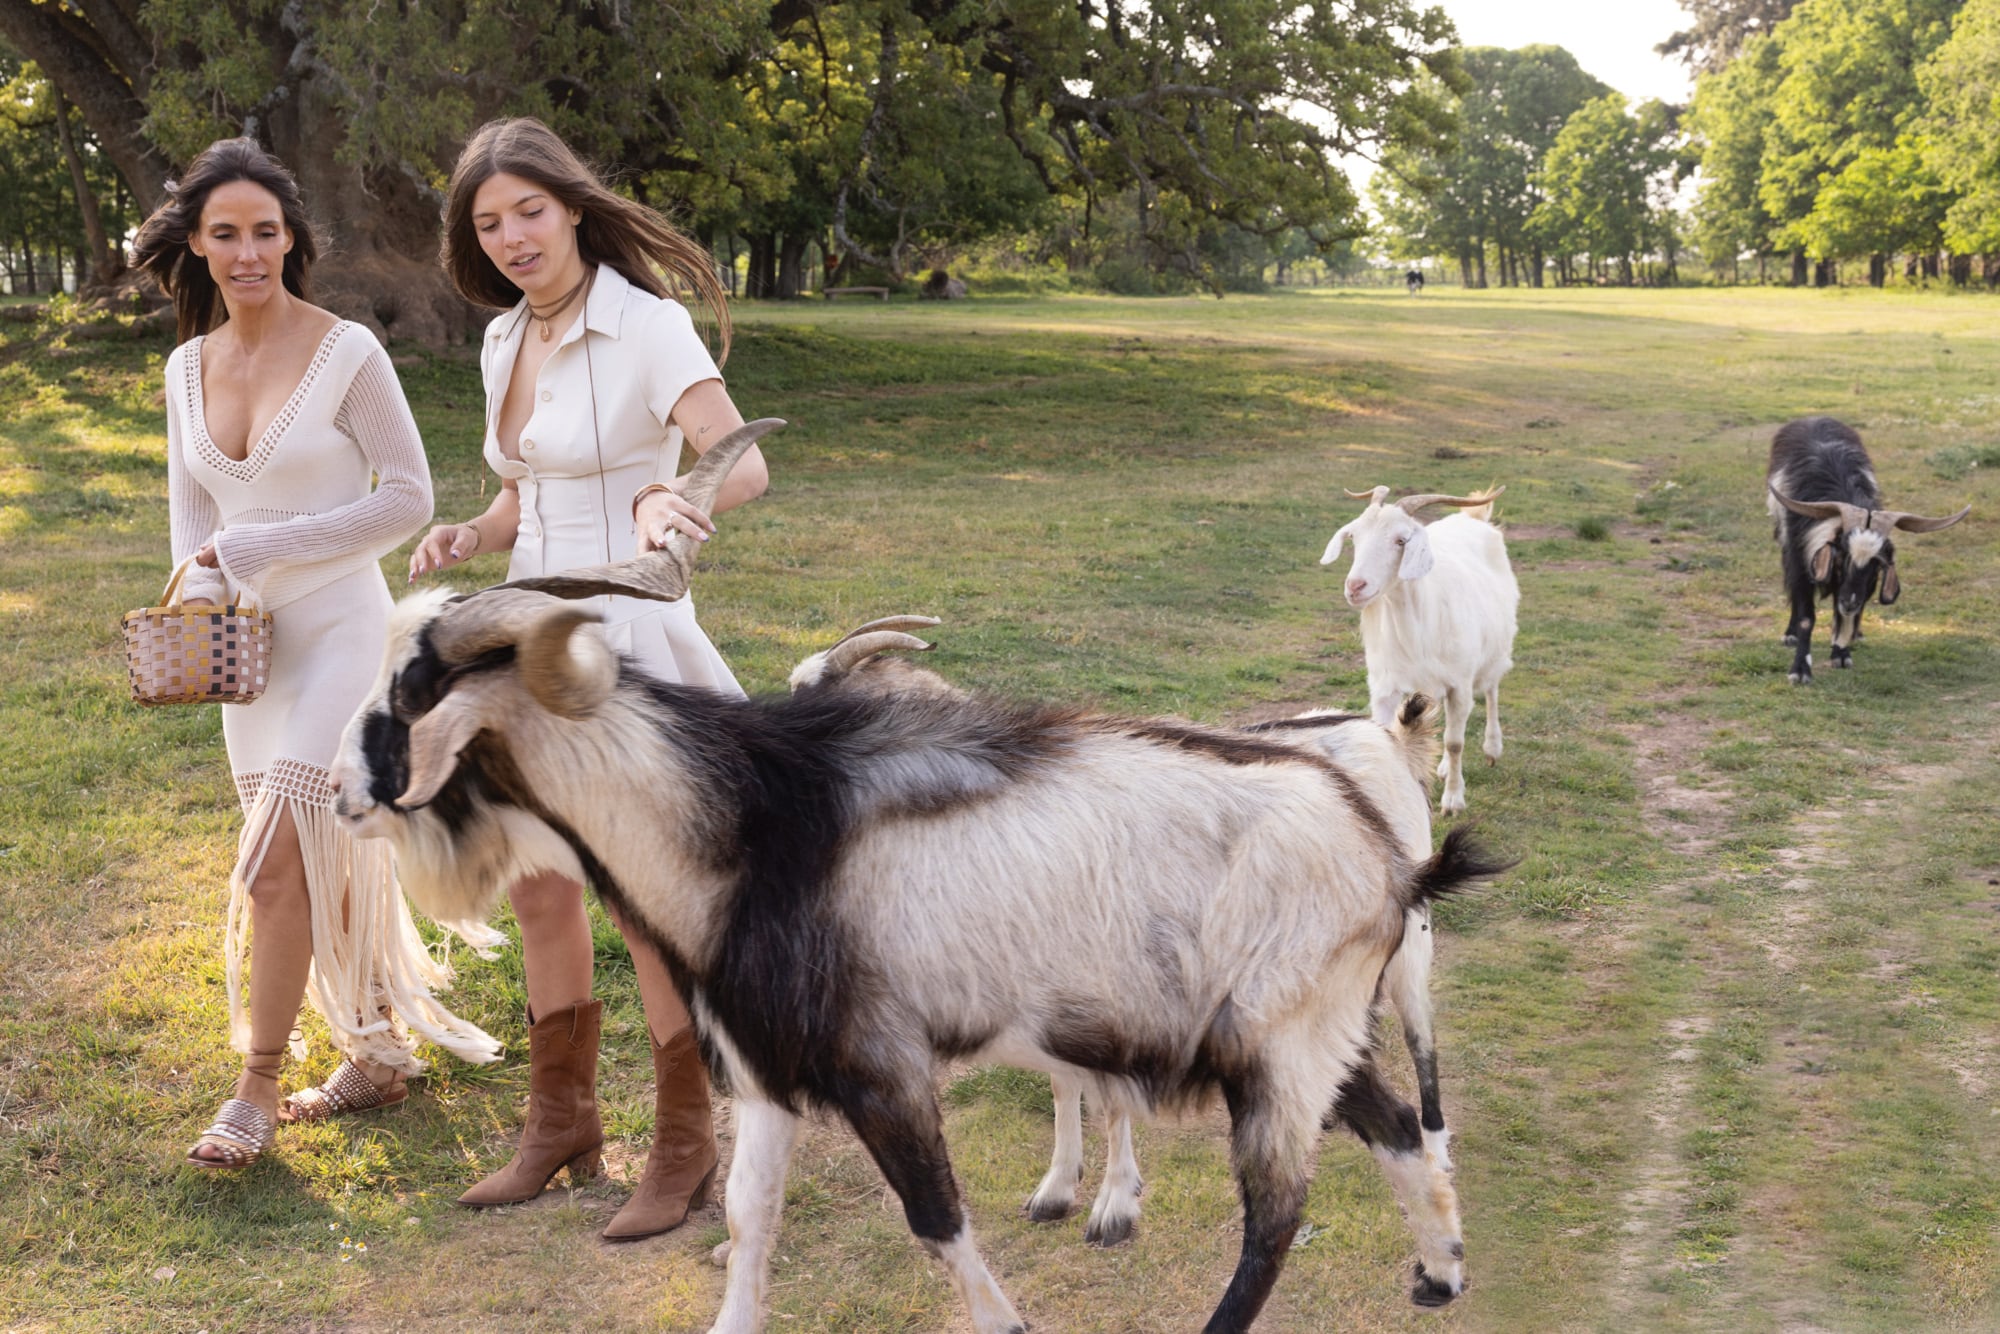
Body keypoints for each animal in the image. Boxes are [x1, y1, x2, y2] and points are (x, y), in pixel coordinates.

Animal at [788, 624, 1464, 1256]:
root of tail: (1385, 737)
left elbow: (1111, 1102)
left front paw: (1114, 1205)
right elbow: (1062, 1084)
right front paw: (1057, 1187)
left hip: (1407, 938)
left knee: (1420, 1032)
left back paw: (1435, 1154)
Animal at [1328, 482, 1512, 816]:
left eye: (1401, 540)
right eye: (1354, 537)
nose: (1355, 587)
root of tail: (1474, 519)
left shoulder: (1459, 684)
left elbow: (1455, 742)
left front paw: (1453, 801)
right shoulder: (1385, 687)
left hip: (1495, 651)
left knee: (1491, 691)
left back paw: (1492, 748)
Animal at [1768, 420, 1968, 688]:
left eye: (1877, 566)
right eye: (1841, 559)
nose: (1850, 602)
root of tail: (1813, 419)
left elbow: (1843, 617)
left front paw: (1841, 654)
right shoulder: (1800, 561)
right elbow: (1806, 617)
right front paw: (1800, 670)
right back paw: (1790, 635)